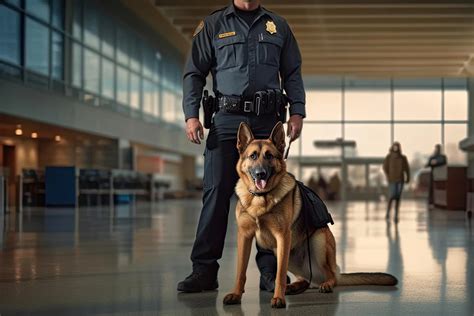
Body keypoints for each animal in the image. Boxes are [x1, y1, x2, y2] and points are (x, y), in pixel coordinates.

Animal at [224, 121, 398, 308]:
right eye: (253, 156)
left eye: (269, 156)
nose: (260, 174)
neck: (260, 198)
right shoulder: (245, 236)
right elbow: (240, 271)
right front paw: (236, 294)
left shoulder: (282, 236)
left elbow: (279, 275)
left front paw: (278, 298)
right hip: (284, 253)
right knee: (305, 279)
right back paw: (295, 286)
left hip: (317, 242)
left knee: (330, 275)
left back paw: (326, 284)